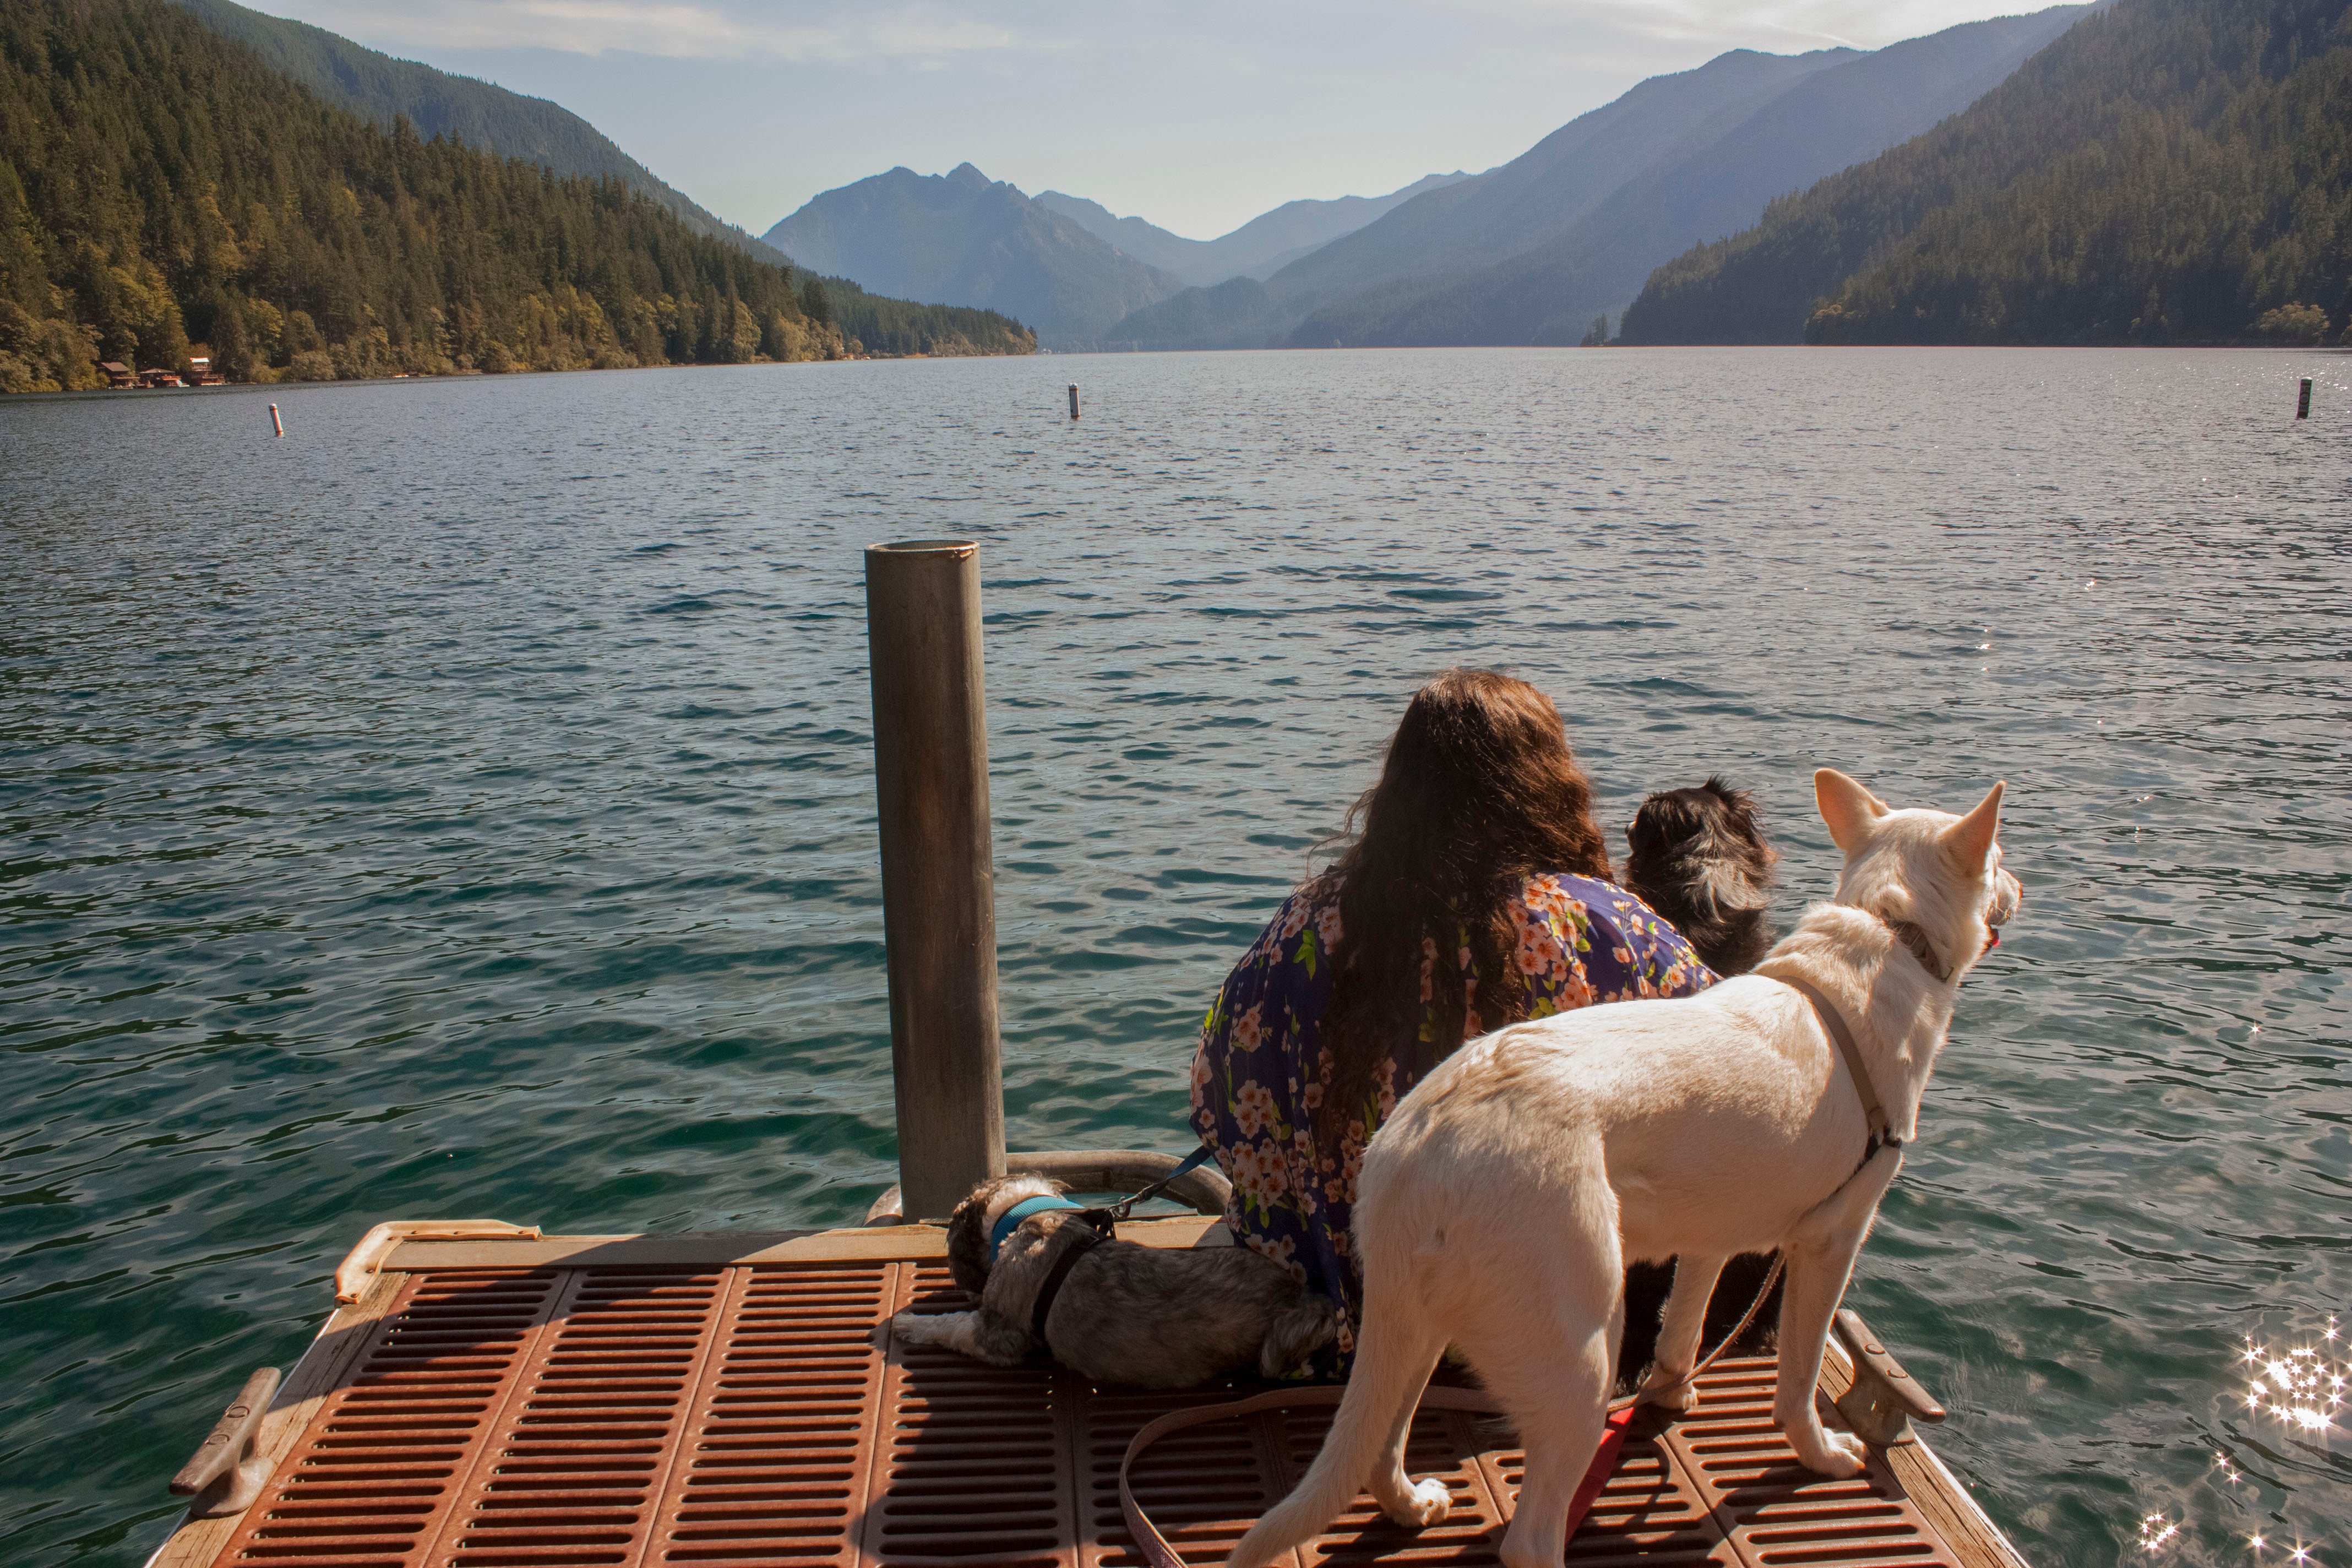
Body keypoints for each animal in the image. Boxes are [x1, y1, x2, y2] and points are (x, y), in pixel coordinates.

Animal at [1232, 771, 2022, 1568]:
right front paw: (1822, 1453)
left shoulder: (1712, 1232)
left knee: (1381, 1447)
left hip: (1417, 1326)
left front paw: (1669, 1395)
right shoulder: (1830, 1242)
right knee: (1530, 1536)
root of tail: (1418, 1149)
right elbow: (1797, 1382)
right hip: (1579, 1355)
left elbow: (1683, 1331)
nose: (2020, 885)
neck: (1890, 930)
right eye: (1999, 858)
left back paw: (1410, 1504)